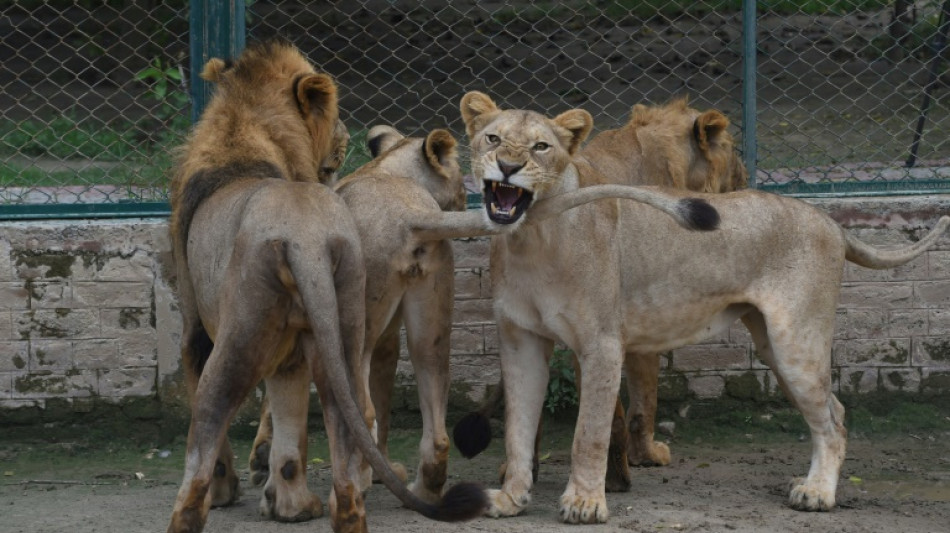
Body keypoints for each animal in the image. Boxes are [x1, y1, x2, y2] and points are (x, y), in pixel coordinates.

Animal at [164, 41, 488, 532]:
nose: (468, 200)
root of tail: (411, 216)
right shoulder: (380, 336)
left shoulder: (202, 330)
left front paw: (256, 481)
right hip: (420, 326)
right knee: (426, 418)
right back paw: (411, 488)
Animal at [458, 89, 948, 520]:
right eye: (493, 139)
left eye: (541, 146)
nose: (507, 167)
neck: (532, 237)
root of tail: (830, 220)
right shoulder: (520, 341)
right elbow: (518, 429)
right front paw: (510, 498)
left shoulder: (603, 344)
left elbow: (591, 431)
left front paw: (585, 502)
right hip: (773, 345)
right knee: (836, 408)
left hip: (797, 343)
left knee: (831, 419)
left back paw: (817, 494)